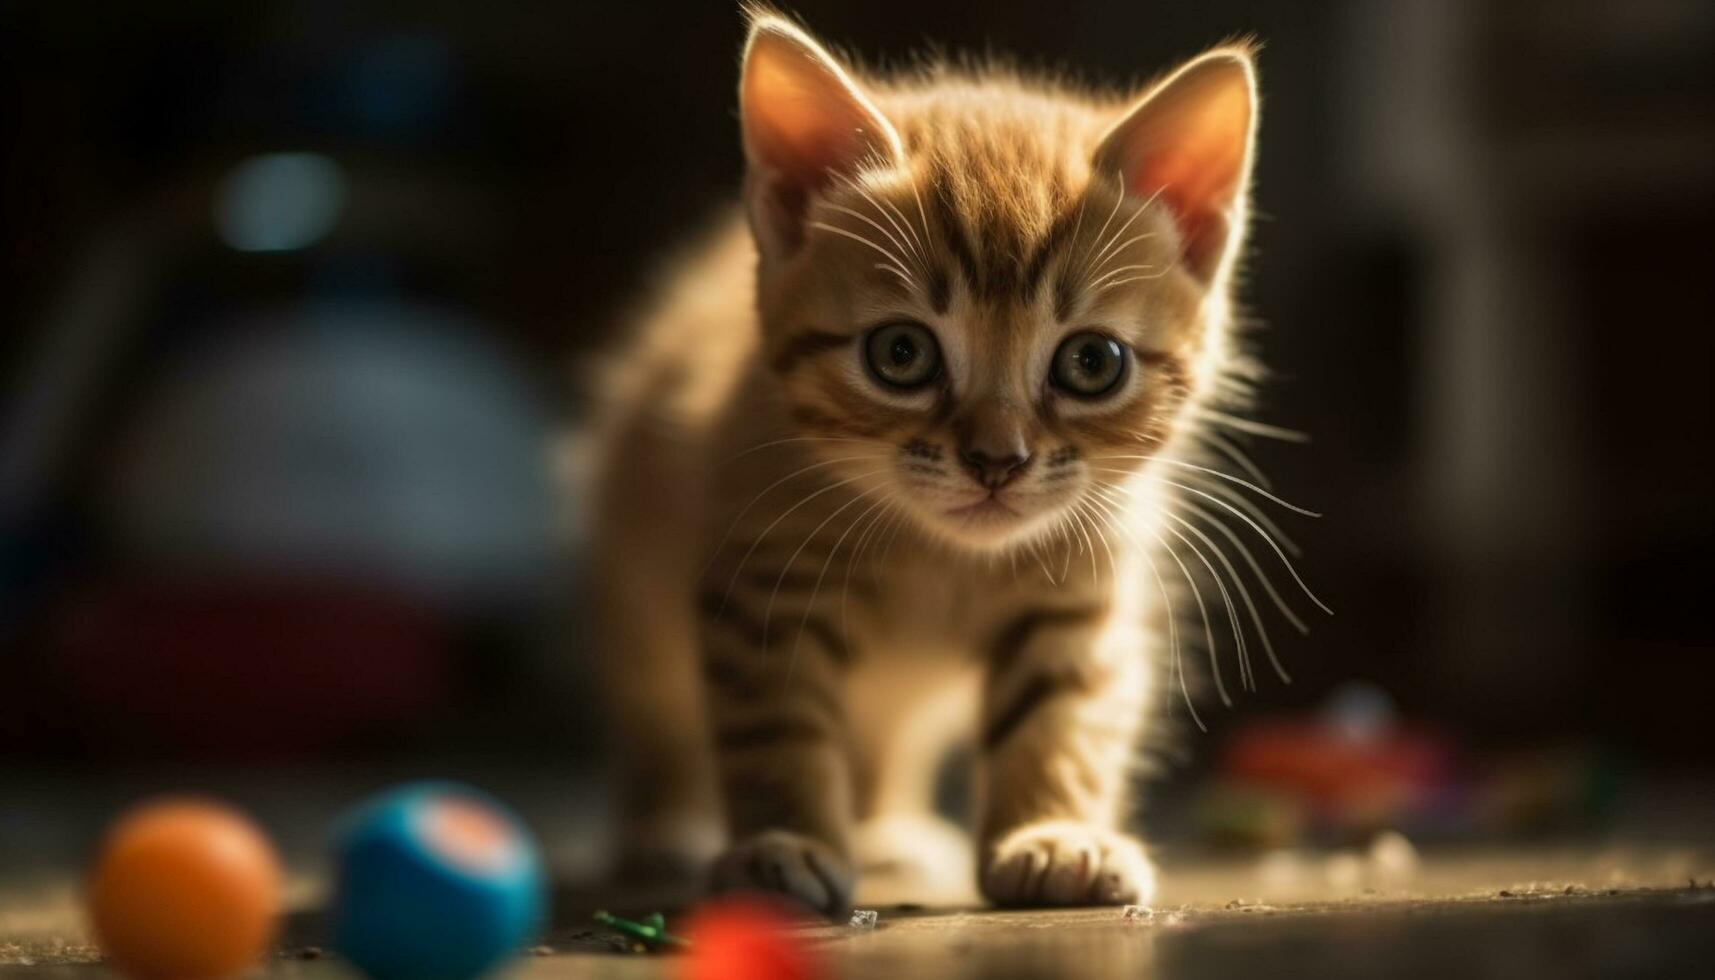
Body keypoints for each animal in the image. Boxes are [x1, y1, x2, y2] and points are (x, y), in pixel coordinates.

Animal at [589, 7, 1296, 919]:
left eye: (1091, 363)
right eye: (900, 354)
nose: (997, 459)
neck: (942, 558)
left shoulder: (1084, 589)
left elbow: (1061, 716)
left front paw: (1052, 834)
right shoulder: (760, 583)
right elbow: (777, 724)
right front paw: (783, 842)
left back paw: (888, 830)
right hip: (633, 588)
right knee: (659, 721)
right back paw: (666, 826)